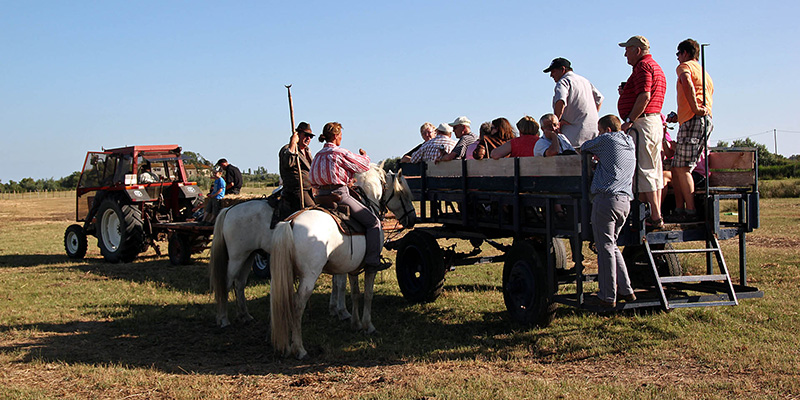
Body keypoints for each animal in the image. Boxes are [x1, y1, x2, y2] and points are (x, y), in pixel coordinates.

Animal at [211, 200, 352, 328]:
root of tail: (229, 209)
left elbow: (336, 283)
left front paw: (334, 309)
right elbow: (340, 284)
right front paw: (342, 312)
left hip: (248, 256)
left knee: (239, 283)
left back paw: (244, 315)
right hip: (236, 257)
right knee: (226, 283)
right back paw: (223, 319)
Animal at [270, 164, 416, 358]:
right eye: (403, 194)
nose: (413, 219)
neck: (367, 202)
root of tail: (290, 223)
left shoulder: (353, 267)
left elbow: (354, 293)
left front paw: (355, 323)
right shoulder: (370, 268)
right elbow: (367, 294)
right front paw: (368, 325)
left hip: (282, 275)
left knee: (282, 302)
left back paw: (285, 345)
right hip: (309, 276)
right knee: (297, 304)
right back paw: (299, 349)